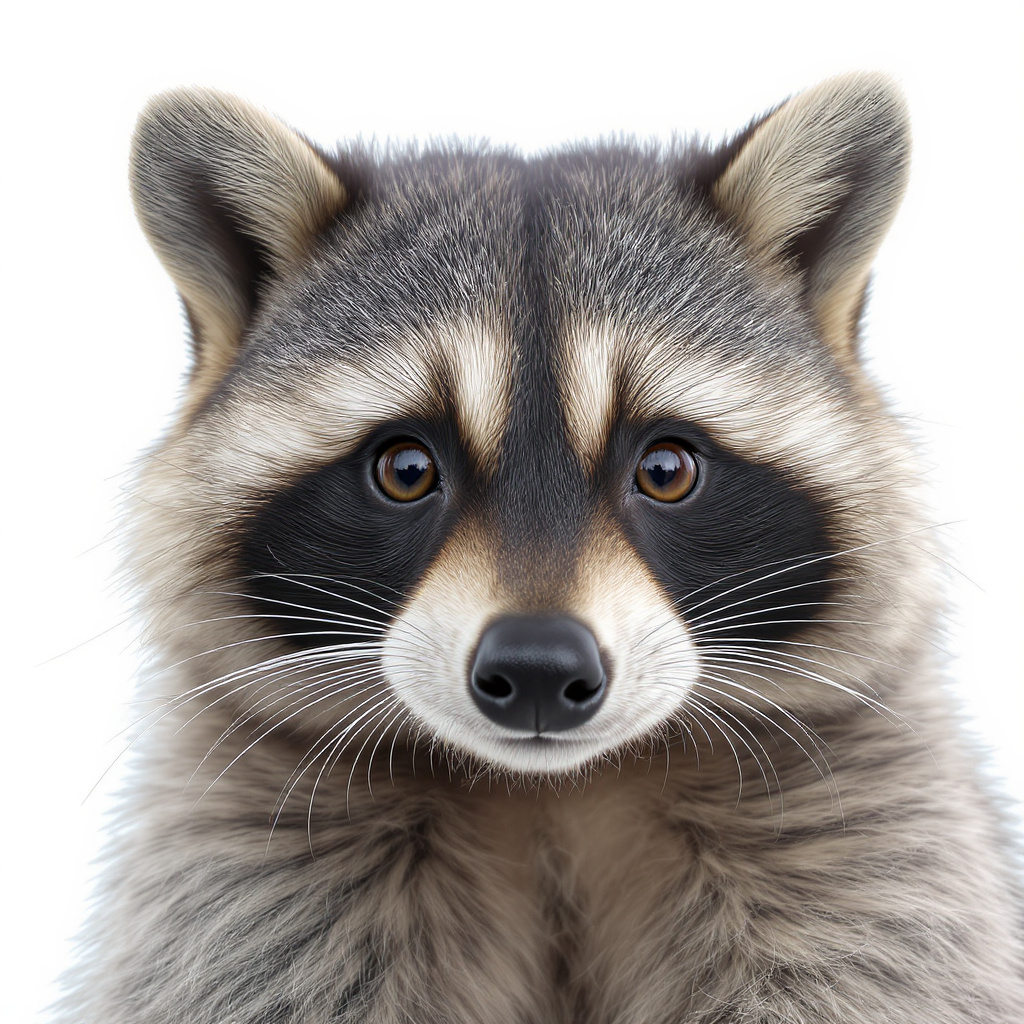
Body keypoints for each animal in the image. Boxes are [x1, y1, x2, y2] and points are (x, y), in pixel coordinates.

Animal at [59, 75, 1024, 1023]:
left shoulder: (859, 839)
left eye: (666, 469)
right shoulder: (254, 868)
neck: (553, 793)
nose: (535, 668)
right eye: (406, 469)